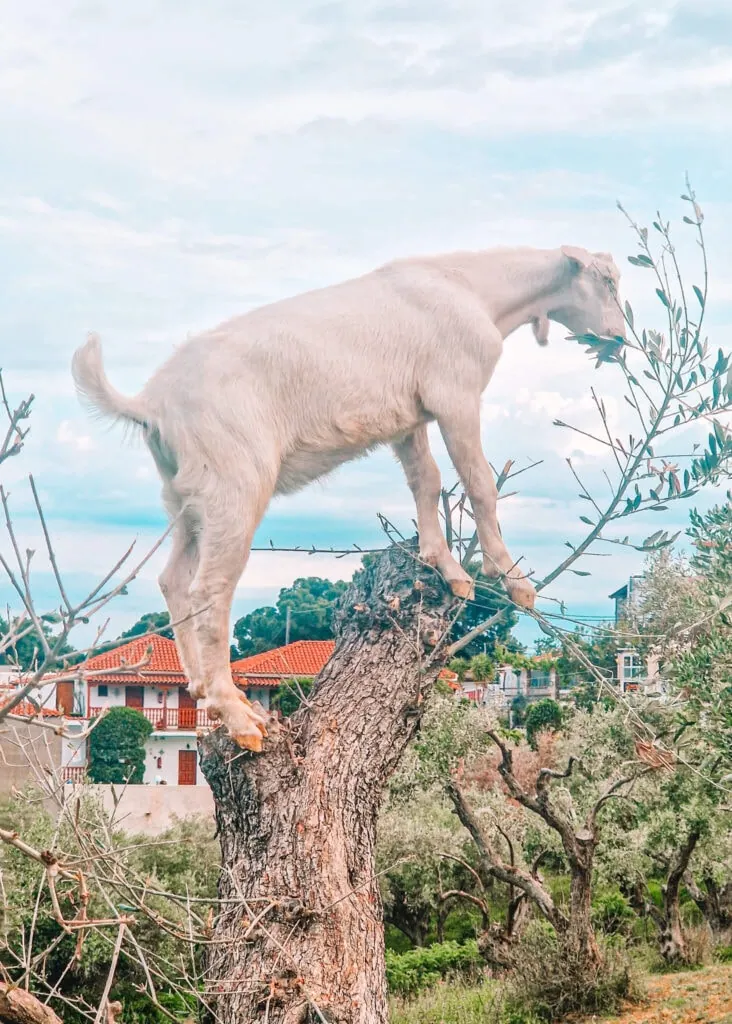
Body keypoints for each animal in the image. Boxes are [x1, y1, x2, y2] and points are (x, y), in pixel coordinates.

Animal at [72, 245, 625, 750]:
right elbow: (479, 483)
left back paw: (203, 691)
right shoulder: (455, 395)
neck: (474, 289)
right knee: (208, 592)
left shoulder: (410, 416)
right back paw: (240, 719)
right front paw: (512, 580)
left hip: (186, 498)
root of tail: (150, 404)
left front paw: (445, 566)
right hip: (235, 486)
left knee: (172, 580)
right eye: (609, 281)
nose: (619, 337)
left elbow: (426, 481)